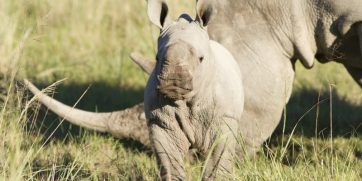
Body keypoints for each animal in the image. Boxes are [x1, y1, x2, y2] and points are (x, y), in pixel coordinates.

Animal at [144, 0, 243, 180]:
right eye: (157, 57)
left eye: (201, 58)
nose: (173, 80)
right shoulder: (159, 119)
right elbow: (170, 161)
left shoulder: (224, 117)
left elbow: (218, 157)